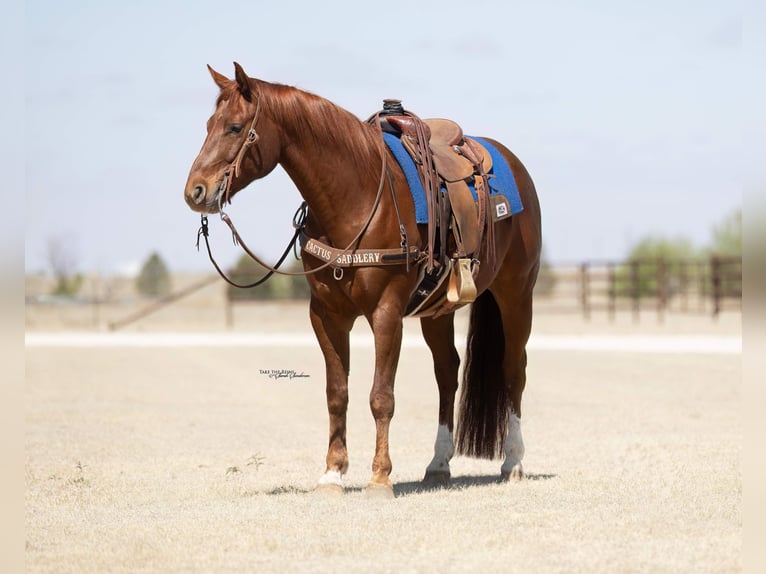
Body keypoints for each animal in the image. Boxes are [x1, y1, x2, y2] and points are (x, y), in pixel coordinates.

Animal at [184, 62, 541, 498]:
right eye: (208, 125)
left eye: (235, 127)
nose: (195, 191)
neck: (355, 196)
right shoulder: (326, 316)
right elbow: (337, 394)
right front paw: (332, 474)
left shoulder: (386, 313)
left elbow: (380, 397)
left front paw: (380, 478)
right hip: (437, 311)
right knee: (447, 372)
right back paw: (438, 464)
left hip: (516, 295)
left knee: (513, 369)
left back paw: (513, 462)